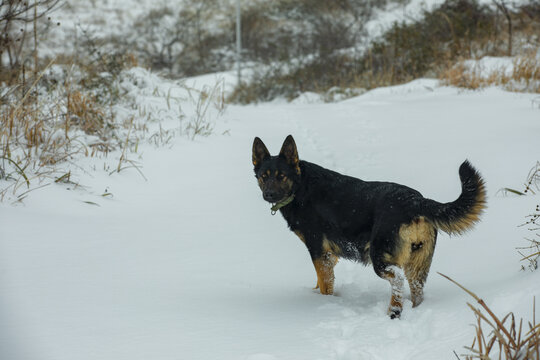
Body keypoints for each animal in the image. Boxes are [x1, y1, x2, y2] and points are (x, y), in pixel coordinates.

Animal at [252, 134, 486, 318]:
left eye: (281, 176)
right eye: (264, 177)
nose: (269, 195)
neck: (300, 186)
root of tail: (416, 201)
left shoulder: (318, 250)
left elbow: (325, 283)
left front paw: (324, 304)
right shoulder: (329, 255)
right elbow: (322, 280)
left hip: (380, 257)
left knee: (397, 280)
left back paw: (393, 312)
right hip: (418, 263)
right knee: (416, 290)